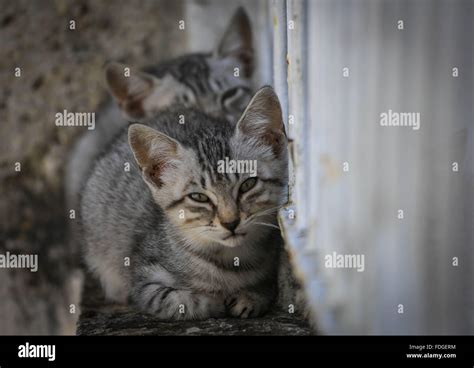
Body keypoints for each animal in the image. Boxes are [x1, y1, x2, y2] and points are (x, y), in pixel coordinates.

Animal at [80, 86, 288, 320]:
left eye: (248, 184)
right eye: (199, 197)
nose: (231, 223)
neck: (230, 261)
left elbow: (266, 288)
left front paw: (250, 297)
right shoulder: (144, 281)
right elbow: (186, 300)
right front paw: (215, 300)